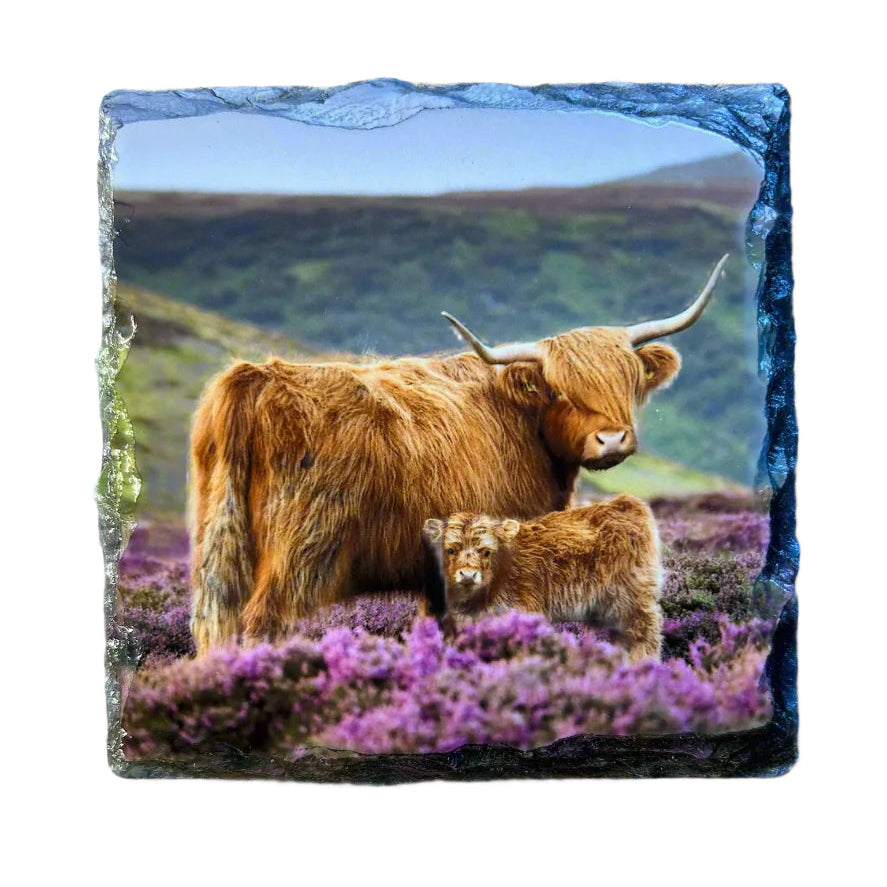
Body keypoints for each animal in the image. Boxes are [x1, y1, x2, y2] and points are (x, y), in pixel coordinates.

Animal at [421, 495, 663, 662]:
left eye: (486, 551)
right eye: (451, 550)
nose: (468, 575)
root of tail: (624, 502)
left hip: (631, 598)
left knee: (645, 631)